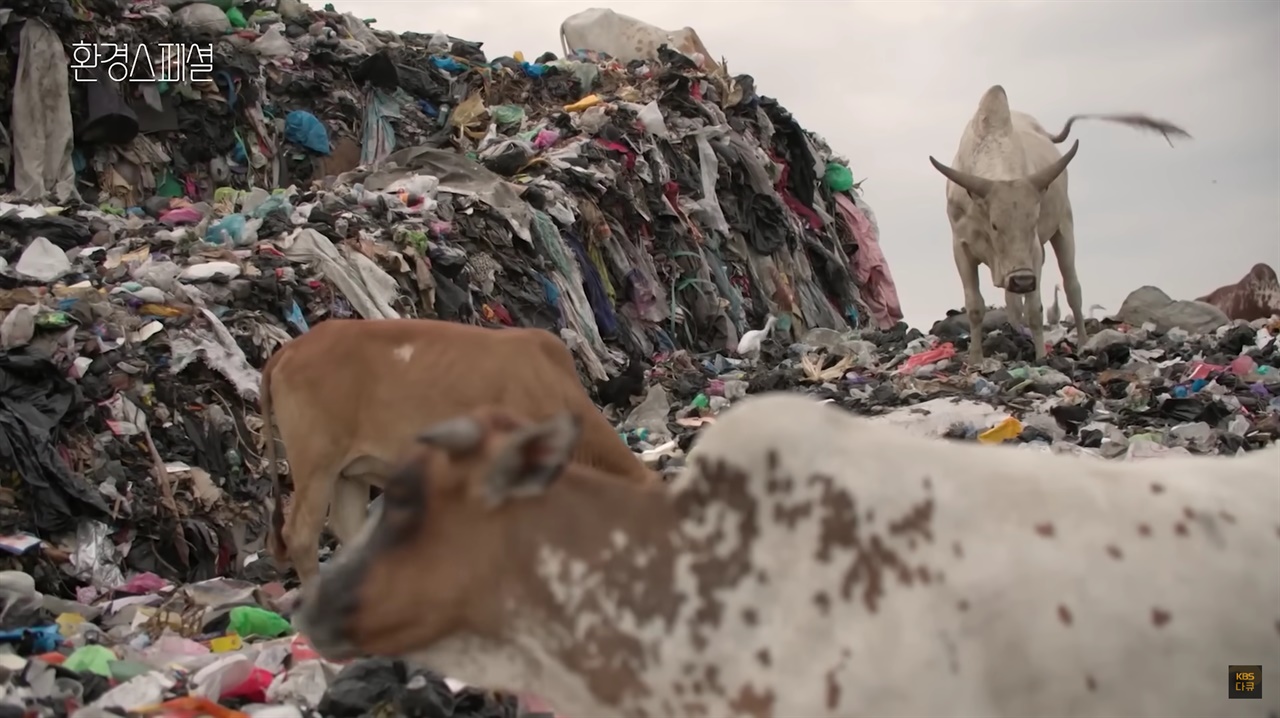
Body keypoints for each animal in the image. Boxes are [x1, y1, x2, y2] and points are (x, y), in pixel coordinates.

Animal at [931, 86, 1187, 360]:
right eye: (995, 225)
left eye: (1033, 221)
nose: (1022, 280)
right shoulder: (962, 249)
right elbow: (975, 307)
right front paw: (976, 359)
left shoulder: (1034, 251)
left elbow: (1036, 308)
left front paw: (1041, 357)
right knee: (1015, 302)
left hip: (1064, 228)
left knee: (1072, 289)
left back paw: (1083, 343)